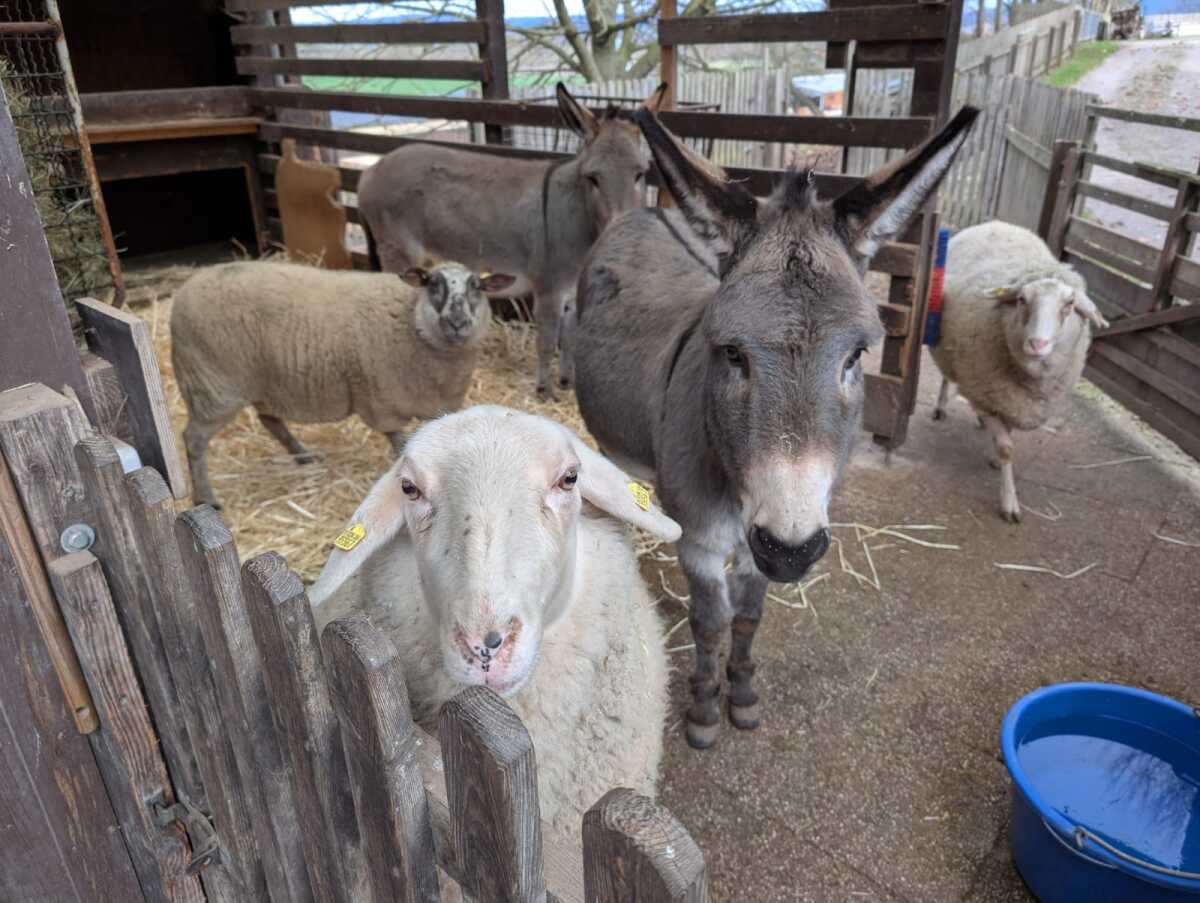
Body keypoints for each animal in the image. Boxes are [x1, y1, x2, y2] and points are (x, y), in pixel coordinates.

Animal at [170, 260, 514, 508]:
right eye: (431, 283)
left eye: (478, 286)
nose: (458, 323)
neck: (411, 321)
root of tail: (183, 291)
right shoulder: (382, 398)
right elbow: (398, 442)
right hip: (213, 387)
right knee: (193, 440)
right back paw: (206, 498)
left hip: (262, 385)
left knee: (270, 421)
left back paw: (303, 454)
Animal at [929, 221, 1108, 523]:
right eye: (1023, 299)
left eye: (1069, 305)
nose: (1037, 344)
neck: (1029, 378)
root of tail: (998, 223)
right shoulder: (983, 389)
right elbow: (1006, 448)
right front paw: (1009, 502)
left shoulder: (1011, 400)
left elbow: (1007, 435)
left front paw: (994, 457)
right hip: (947, 346)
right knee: (945, 375)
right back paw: (941, 407)